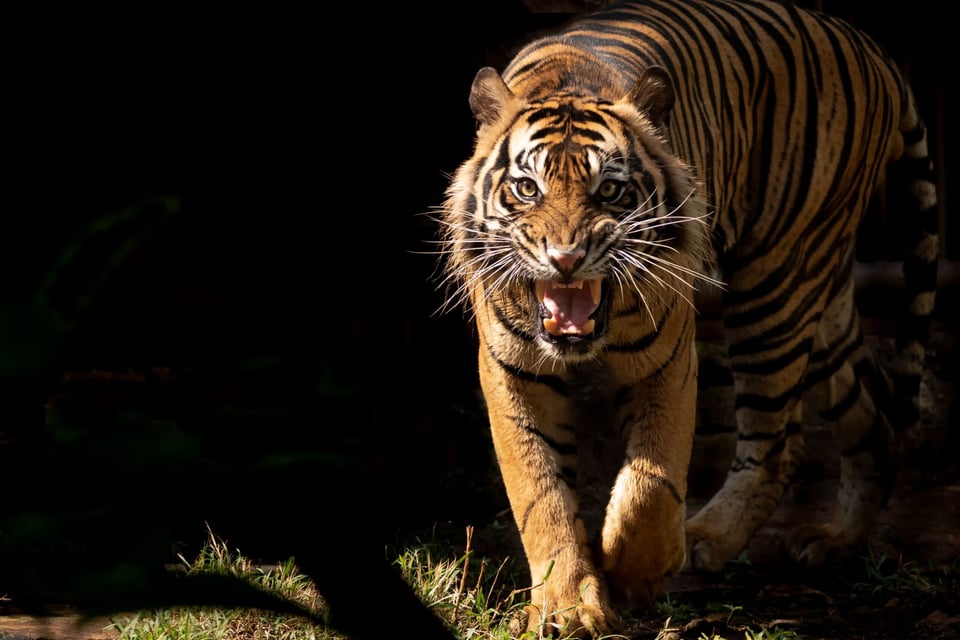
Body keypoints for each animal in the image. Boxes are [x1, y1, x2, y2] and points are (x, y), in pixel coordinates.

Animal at [435, 0, 939, 636]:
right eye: (527, 189)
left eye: (611, 191)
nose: (566, 258)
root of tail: (868, 46)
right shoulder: (512, 372)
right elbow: (540, 492)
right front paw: (568, 609)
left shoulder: (669, 357)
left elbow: (650, 482)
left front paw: (634, 573)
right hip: (819, 294)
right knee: (872, 419)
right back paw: (834, 543)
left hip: (777, 279)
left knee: (778, 442)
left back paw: (709, 537)